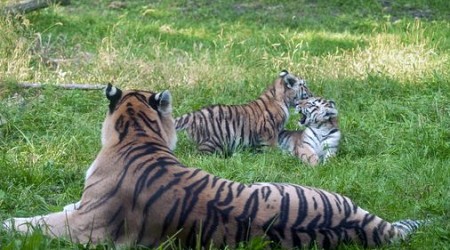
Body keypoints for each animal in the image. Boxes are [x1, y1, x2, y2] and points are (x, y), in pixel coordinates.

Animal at [3, 84, 424, 248]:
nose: (306, 110)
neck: (138, 135)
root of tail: (360, 225)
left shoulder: (85, 224)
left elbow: (38, 223)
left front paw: (9, 223)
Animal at [174, 70, 312, 155]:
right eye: (304, 86)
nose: (312, 94)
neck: (281, 99)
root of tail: (194, 115)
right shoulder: (269, 131)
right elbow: (272, 146)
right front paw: (275, 156)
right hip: (211, 142)